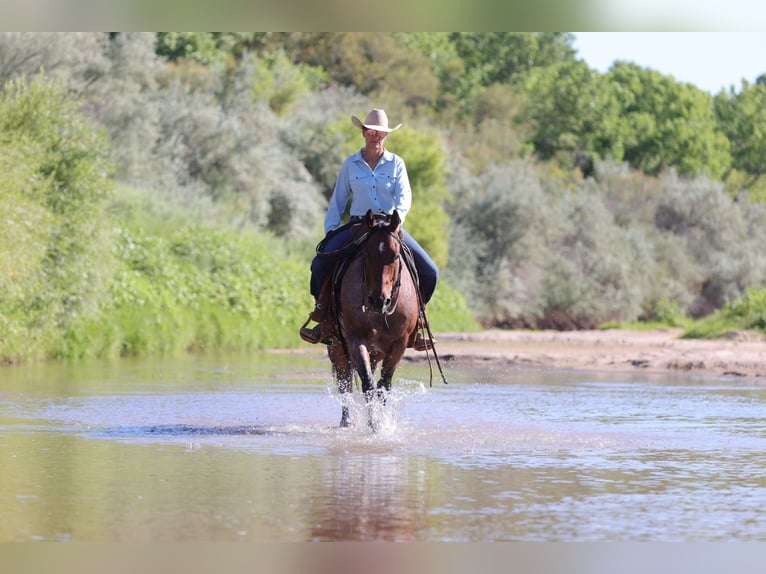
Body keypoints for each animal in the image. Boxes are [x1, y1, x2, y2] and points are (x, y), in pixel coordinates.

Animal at [327, 209, 420, 429]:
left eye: (395, 256)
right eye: (367, 254)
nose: (379, 300)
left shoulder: (399, 343)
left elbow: (383, 386)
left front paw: (382, 423)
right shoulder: (356, 339)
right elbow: (367, 384)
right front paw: (374, 425)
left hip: (376, 351)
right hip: (336, 344)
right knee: (344, 381)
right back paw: (345, 421)